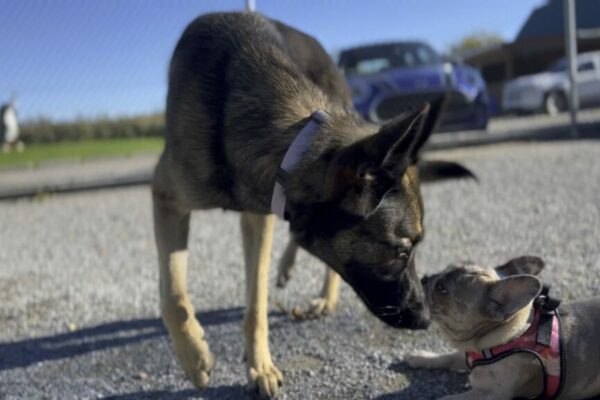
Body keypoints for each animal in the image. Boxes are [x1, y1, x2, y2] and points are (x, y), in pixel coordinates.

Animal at [152, 10, 472, 398]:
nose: (425, 318)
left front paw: (259, 366)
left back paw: (322, 296)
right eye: (400, 251)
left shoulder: (260, 216)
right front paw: (194, 358)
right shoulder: (167, 199)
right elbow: (174, 295)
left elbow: (255, 304)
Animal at [406, 256, 600, 400]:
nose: (424, 278)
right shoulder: (467, 352)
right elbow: (448, 357)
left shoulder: (489, 394)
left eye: (442, 288)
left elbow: (445, 398)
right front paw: (421, 357)